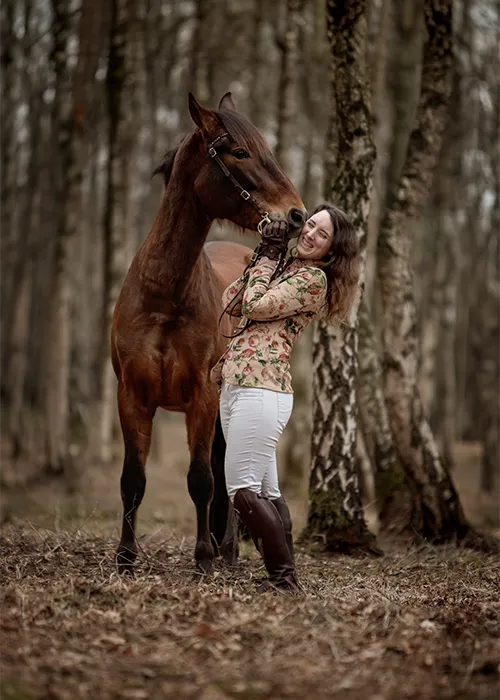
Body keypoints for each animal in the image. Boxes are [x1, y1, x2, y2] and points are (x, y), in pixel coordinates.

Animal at [111, 92, 306, 574]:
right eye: (240, 152)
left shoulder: (201, 395)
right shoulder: (131, 396)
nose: (296, 214)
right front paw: (125, 557)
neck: (165, 296)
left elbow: (201, 479)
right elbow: (132, 479)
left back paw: (227, 548)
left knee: (226, 470)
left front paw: (202, 557)